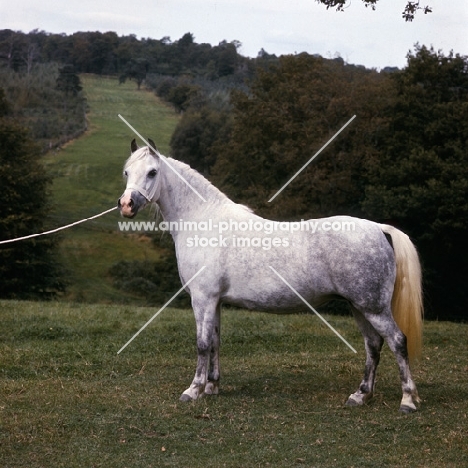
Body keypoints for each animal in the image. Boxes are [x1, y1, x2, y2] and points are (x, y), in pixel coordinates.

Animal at [118, 140, 424, 414]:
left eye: (152, 172)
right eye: (126, 172)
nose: (126, 205)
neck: (204, 222)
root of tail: (379, 229)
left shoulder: (203, 299)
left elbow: (202, 345)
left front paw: (193, 390)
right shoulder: (215, 301)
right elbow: (215, 341)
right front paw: (212, 387)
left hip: (374, 308)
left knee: (397, 341)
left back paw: (407, 401)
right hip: (359, 306)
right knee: (373, 345)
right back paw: (361, 395)